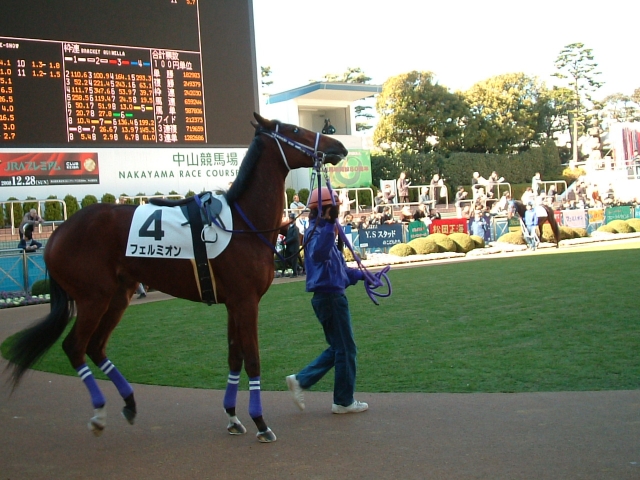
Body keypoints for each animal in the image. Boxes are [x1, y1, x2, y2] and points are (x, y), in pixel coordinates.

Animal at [5, 113, 348, 443]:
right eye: (295, 130)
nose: (338, 147)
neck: (242, 223)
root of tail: (58, 233)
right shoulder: (246, 301)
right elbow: (252, 359)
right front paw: (260, 422)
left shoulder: (233, 303)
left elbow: (234, 357)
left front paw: (233, 416)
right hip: (93, 297)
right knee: (75, 346)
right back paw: (100, 412)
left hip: (118, 295)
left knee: (96, 347)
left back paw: (129, 402)